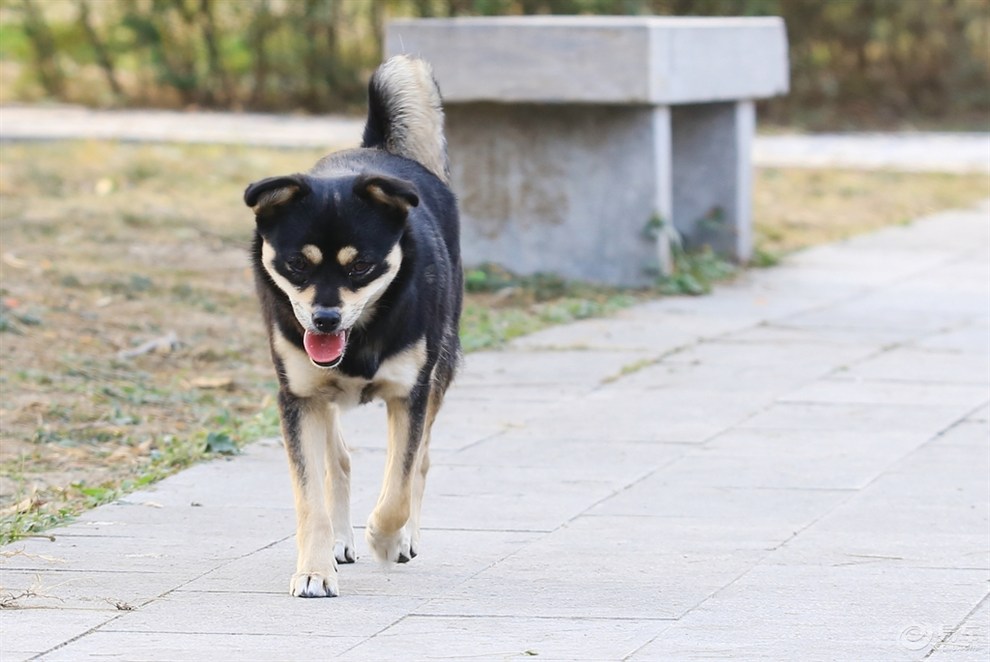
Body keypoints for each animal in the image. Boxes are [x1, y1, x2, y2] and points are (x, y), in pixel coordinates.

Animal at [248, 54, 464, 600]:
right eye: (297, 265)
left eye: (361, 266)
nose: (324, 319)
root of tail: (377, 148)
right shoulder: (299, 398)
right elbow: (311, 498)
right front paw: (314, 569)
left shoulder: (410, 393)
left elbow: (398, 487)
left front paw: (386, 540)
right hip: (320, 396)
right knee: (338, 461)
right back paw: (340, 542)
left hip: (442, 368)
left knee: (420, 464)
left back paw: (402, 539)